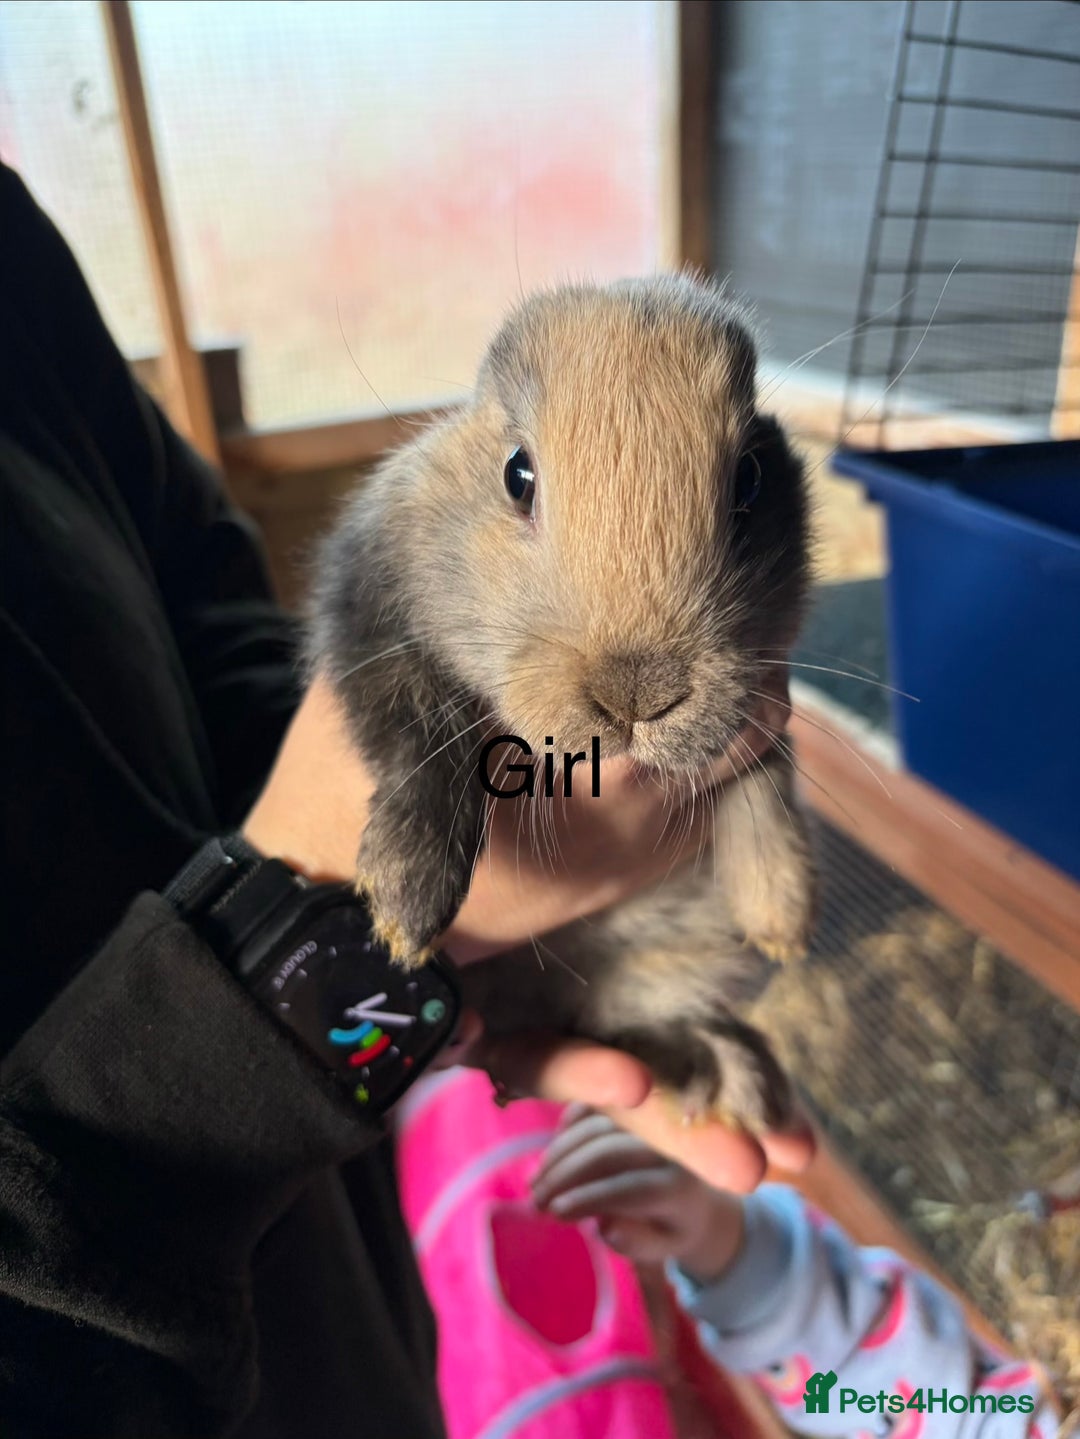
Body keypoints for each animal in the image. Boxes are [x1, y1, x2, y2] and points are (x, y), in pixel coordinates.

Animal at [308, 273, 816, 1130]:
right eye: (518, 474)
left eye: (749, 477)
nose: (637, 690)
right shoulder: (368, 623)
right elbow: (421, 739)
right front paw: (406, 904)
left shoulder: (761, 699)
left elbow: (766, 783)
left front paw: (780, 915)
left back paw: (725, 1074)